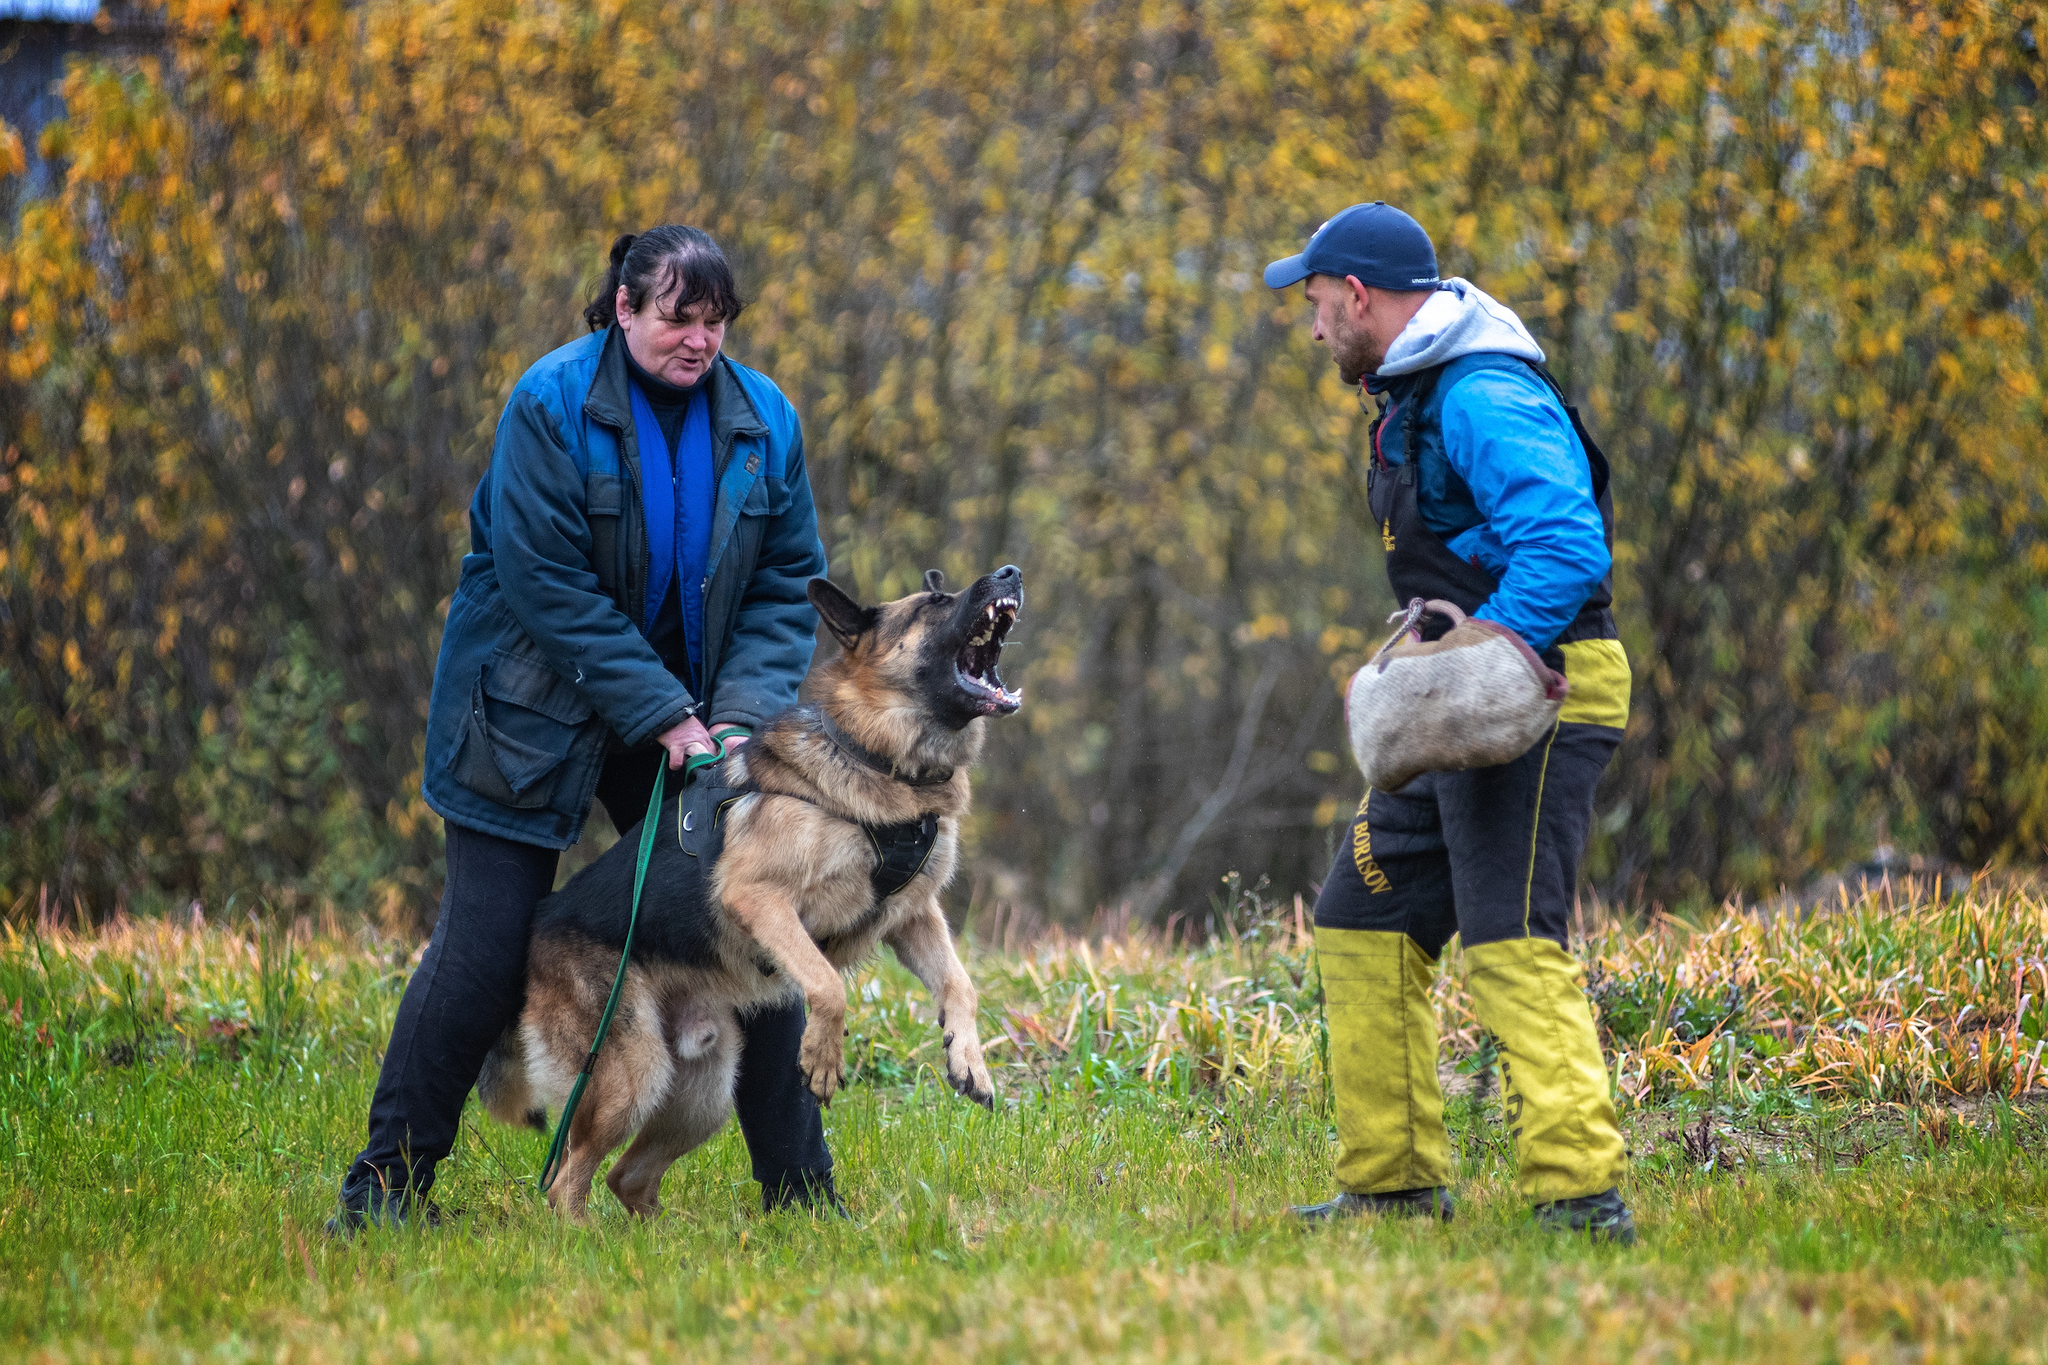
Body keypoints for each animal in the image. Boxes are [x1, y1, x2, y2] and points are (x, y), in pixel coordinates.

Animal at [477, 560, 1024, 1219]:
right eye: (935, 604)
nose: (1011, 572)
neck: (877, 756)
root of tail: (540, 928)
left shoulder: (912, 914)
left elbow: (959, 983)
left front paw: (969, 1060)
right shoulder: (759, 898)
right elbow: (826, 983)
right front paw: (821, 1057)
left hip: (705, 1090)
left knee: (625, 1177)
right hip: (633, 1073)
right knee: (565, 1183)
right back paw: (583, 1238)